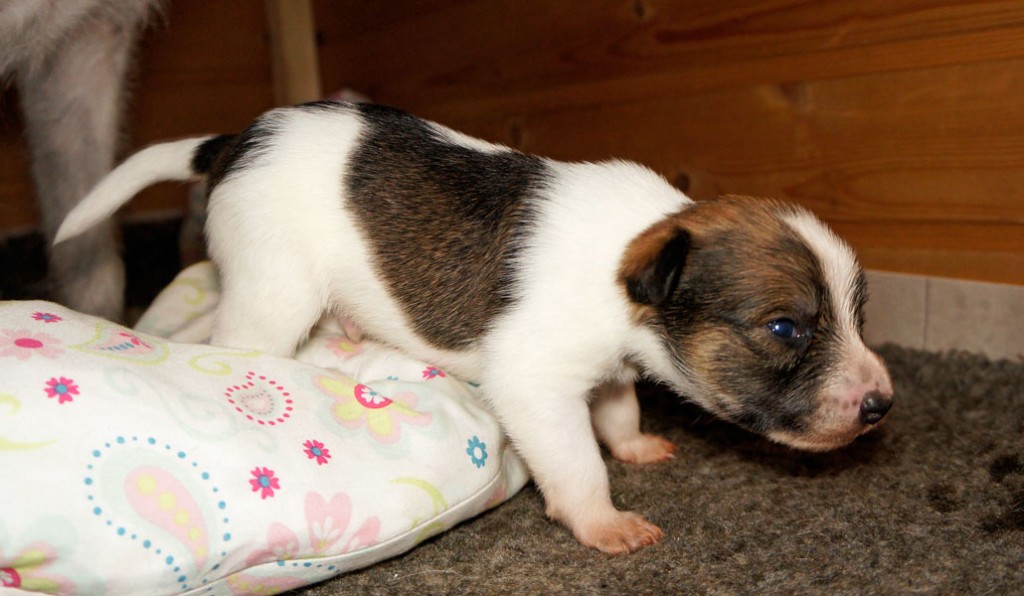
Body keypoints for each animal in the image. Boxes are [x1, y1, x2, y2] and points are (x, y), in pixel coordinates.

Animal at [56, 101, 894, 553]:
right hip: (274, 291)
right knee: (228, 337)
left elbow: (618, 405)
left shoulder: (606, 366)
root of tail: (232, 140)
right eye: (785, 329)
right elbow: (577, 463)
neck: (627, 270)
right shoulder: (535, 388)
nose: (881, 405)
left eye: (855, 314)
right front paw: (603, 521)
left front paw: (635, 444)